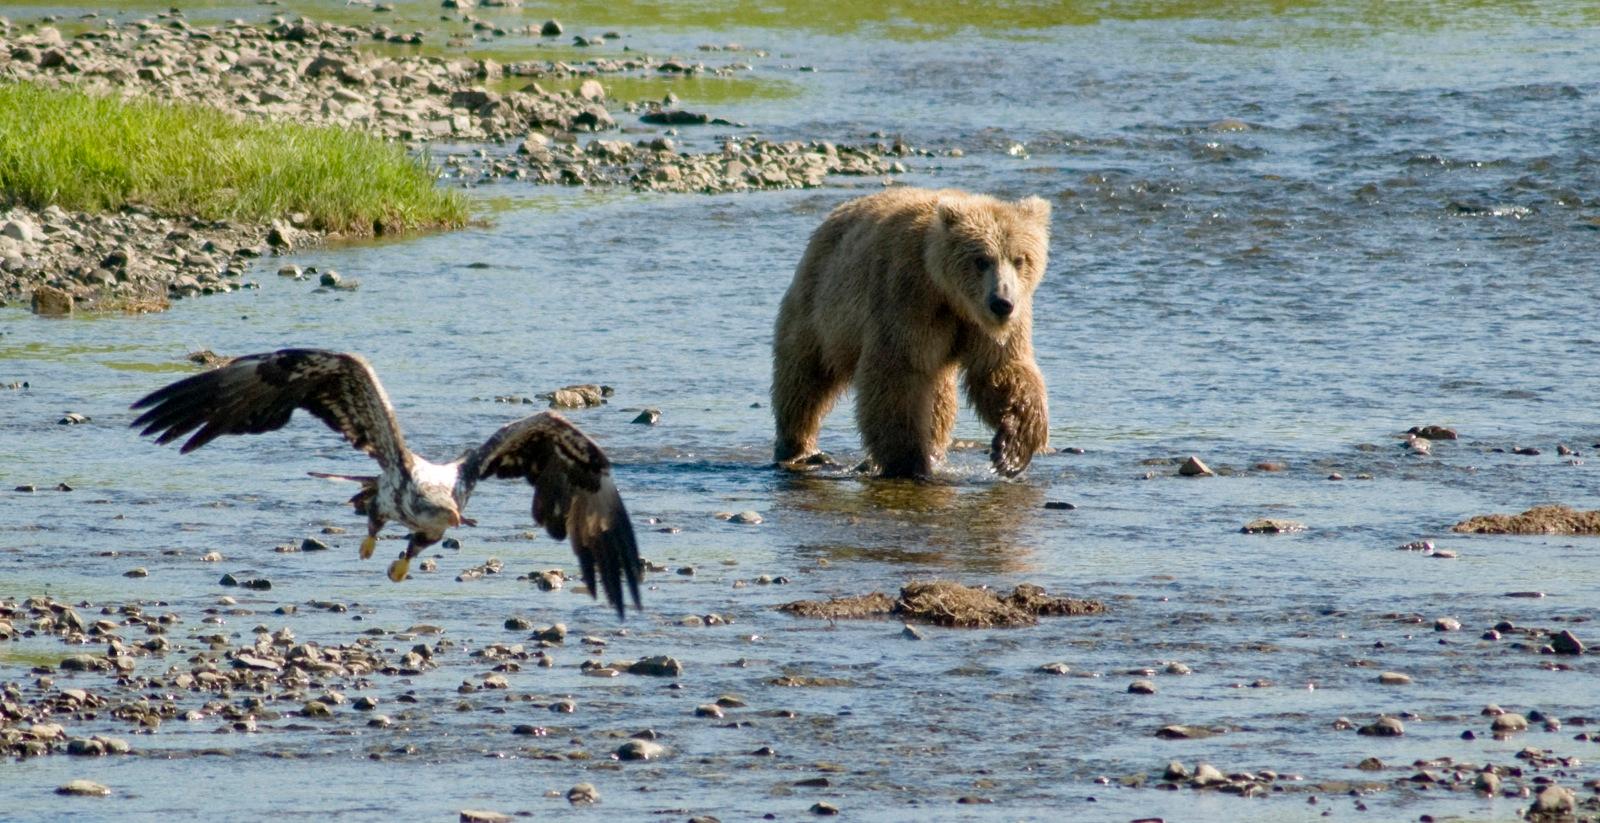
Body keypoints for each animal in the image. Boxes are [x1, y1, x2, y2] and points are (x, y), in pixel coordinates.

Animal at [771, 187, 1052, 479]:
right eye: (981, 260)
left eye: (1020, 259)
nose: (1001, 303)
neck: (950, 296)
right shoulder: (907, 298)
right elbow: (896, 374)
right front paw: (907, 461)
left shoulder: (990, 324)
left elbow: (1000, 368)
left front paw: (1010, 452)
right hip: (821, 306)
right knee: (804, 376)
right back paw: (799, 447)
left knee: (939, 398)